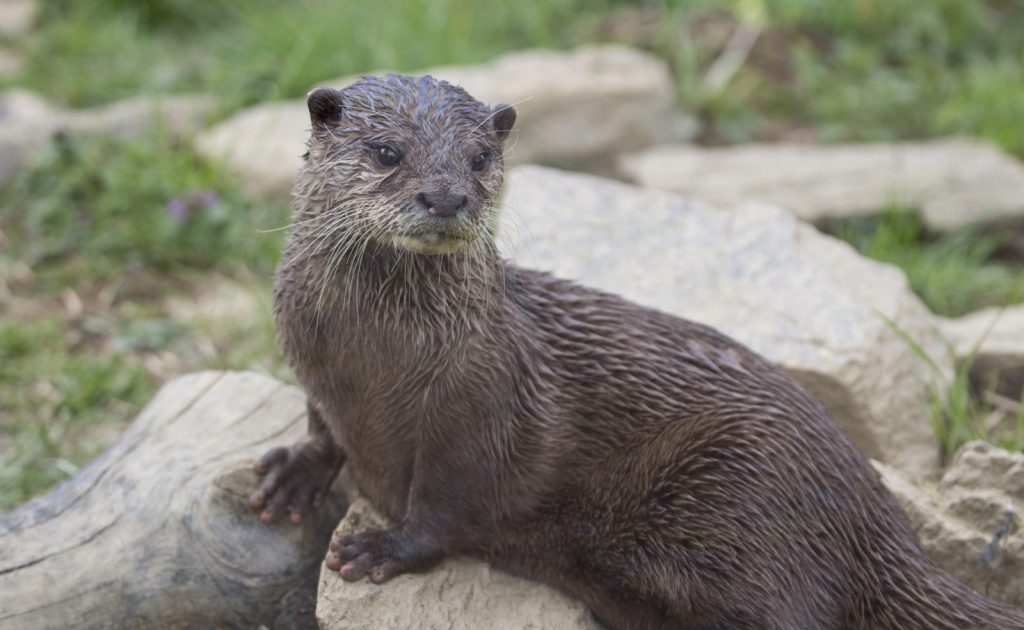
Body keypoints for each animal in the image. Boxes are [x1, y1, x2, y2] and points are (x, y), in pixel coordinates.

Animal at [249, 75, 1024, 630]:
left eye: (479, 158)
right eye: (386, 152)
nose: (446, 196)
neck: (371, 362)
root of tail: (876, 517)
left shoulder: (481, 404)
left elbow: (449, 503)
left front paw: (382, 548)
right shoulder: (312, 366)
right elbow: (323, 428)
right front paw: (292, 473)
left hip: (747, 486)